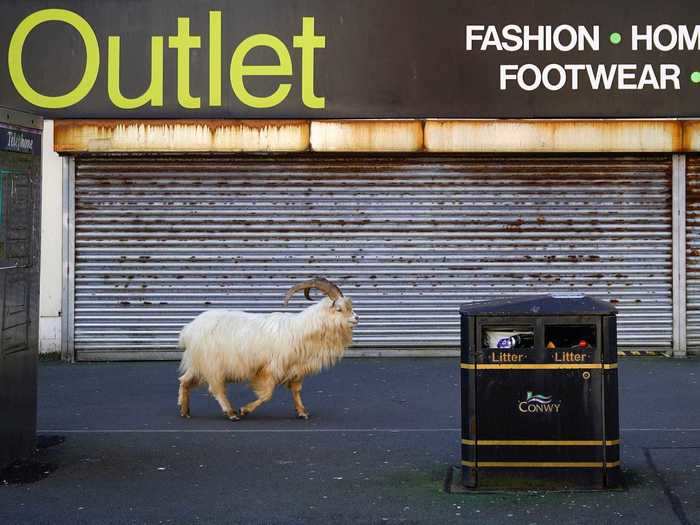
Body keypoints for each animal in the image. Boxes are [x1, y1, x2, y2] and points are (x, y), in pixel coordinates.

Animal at [178, 278, 358, 422]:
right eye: (339, 309)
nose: (357, 318)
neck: (301, 329)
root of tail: (188, 329)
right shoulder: (270, 368)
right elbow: (267, 394)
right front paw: (244, 410)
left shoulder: (296, 369)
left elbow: (296, 390)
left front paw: (302, 412)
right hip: (212, 364)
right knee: (217, 388)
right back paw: (231, 413)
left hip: (198, 363)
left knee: (185, 380)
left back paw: (184, 410)